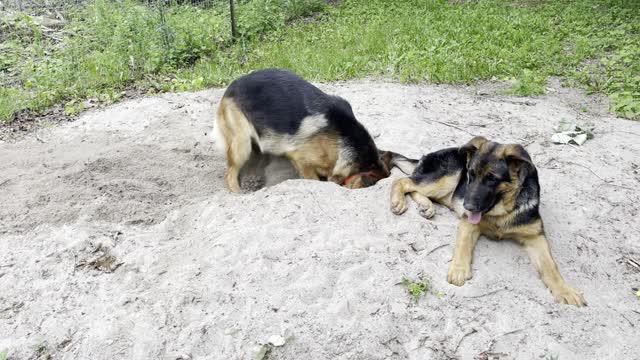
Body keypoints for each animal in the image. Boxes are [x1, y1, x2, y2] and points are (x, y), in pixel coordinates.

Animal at [390, 136, 584, 306]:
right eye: (471, 174)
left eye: (492, 178)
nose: (467, 206)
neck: (503, 212)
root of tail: (427, 155)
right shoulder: (468, 223)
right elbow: (463, 246)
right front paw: (459, 270)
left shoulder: (535, 237)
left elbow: (550, 266)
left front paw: (565, 290)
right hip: (446, 179)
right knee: (403, 181)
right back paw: (398, 201)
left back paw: (426, 206)